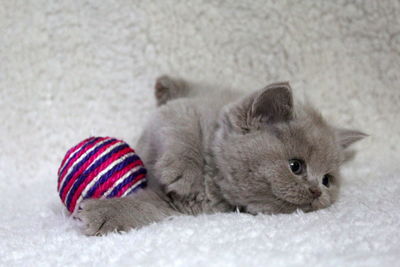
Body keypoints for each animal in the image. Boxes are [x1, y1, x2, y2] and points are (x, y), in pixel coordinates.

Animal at [76, 76, 368, 237]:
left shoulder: (177, 205)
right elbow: (183, 133)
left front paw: (105, 213)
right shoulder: (182, 111)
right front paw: (184, 173)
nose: (317, 192)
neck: (214, 178)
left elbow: (146, 206)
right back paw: (165, 84)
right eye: (295, 166)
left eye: (327, 180)